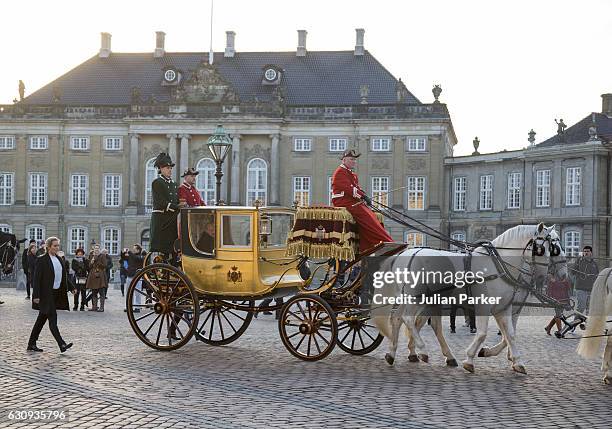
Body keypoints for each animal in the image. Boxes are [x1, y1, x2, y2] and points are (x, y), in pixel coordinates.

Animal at [370, 222, 568, 372]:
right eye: (551, 247)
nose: (563, 273)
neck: (497, 266)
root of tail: (406, 253)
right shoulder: (484, 307)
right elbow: (482, 334)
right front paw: (470, 358)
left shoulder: (504, 308)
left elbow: (510, 335)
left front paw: (517, 361)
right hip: (415, 297)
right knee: (408, 319)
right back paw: (422, 350)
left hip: (421, 298)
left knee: (401, 320)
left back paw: (394, 353)